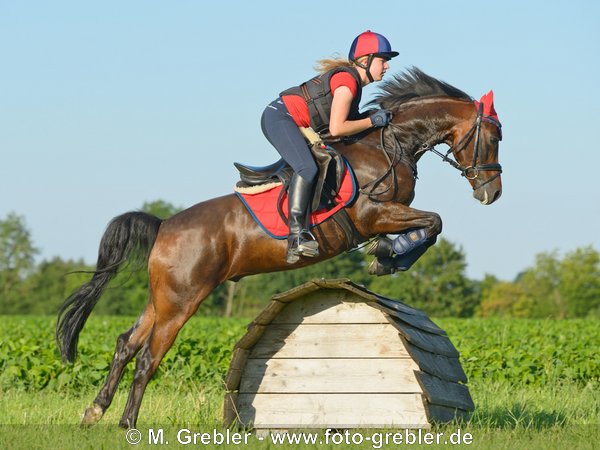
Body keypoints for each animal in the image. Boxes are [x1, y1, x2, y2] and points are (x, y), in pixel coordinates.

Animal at [58, 67, 504, 428]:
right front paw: (386, 257)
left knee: (126, 345)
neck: (388, 144)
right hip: (182, 301)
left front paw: (386, 255)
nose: (492, 193)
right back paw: (127, 424)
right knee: (148, 356)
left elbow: (432, 224)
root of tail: (164, 225)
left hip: (163, 297)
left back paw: (95, 412)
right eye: (494, 137)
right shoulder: (373, 213)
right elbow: (433, 222)